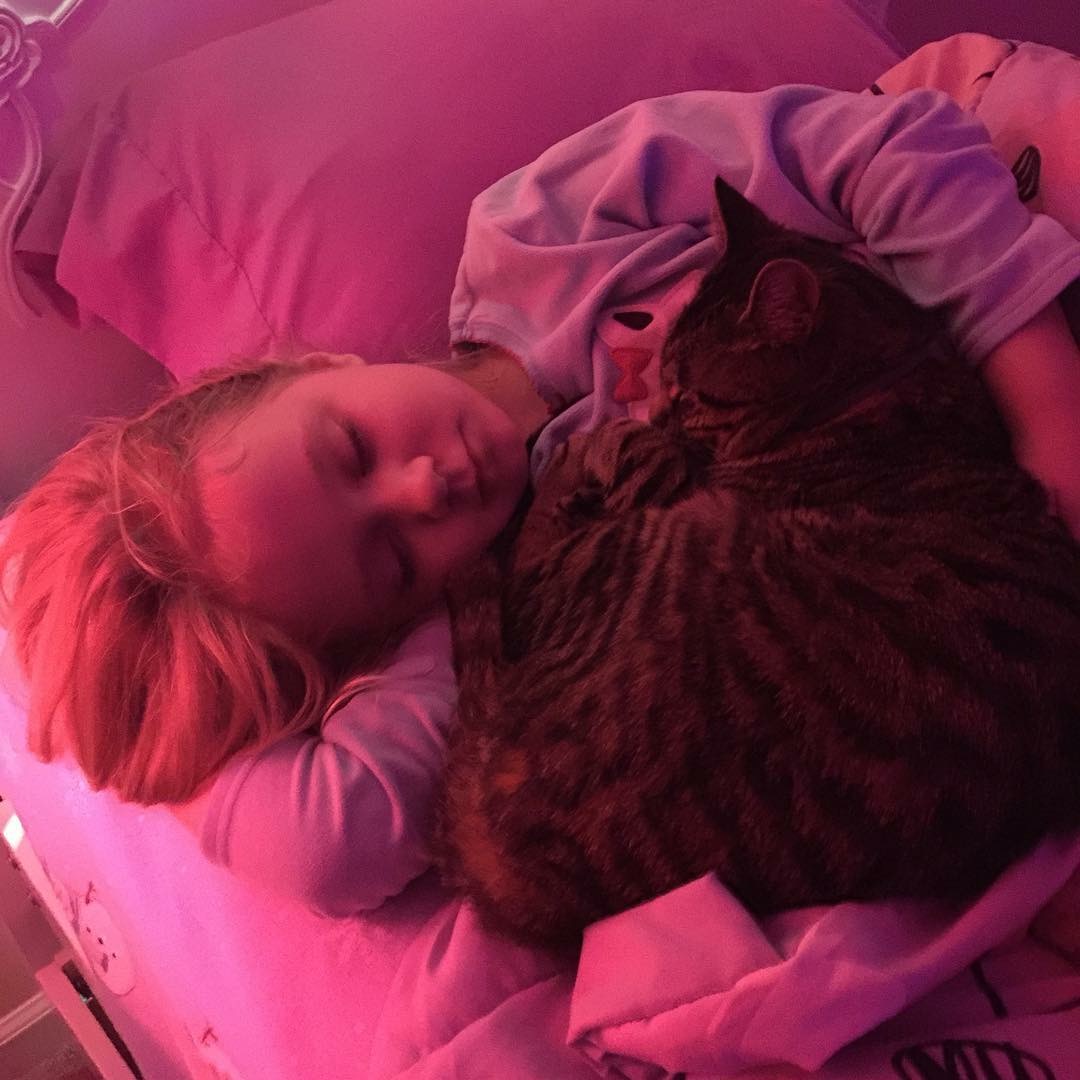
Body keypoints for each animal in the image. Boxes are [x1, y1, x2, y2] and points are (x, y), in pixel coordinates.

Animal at [432, 177, 1080, 952]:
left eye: (687, 393)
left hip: (640, 553)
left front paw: (612, 442)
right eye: (663, 382)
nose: (654, 417)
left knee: (529, 559)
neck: (881, 383)